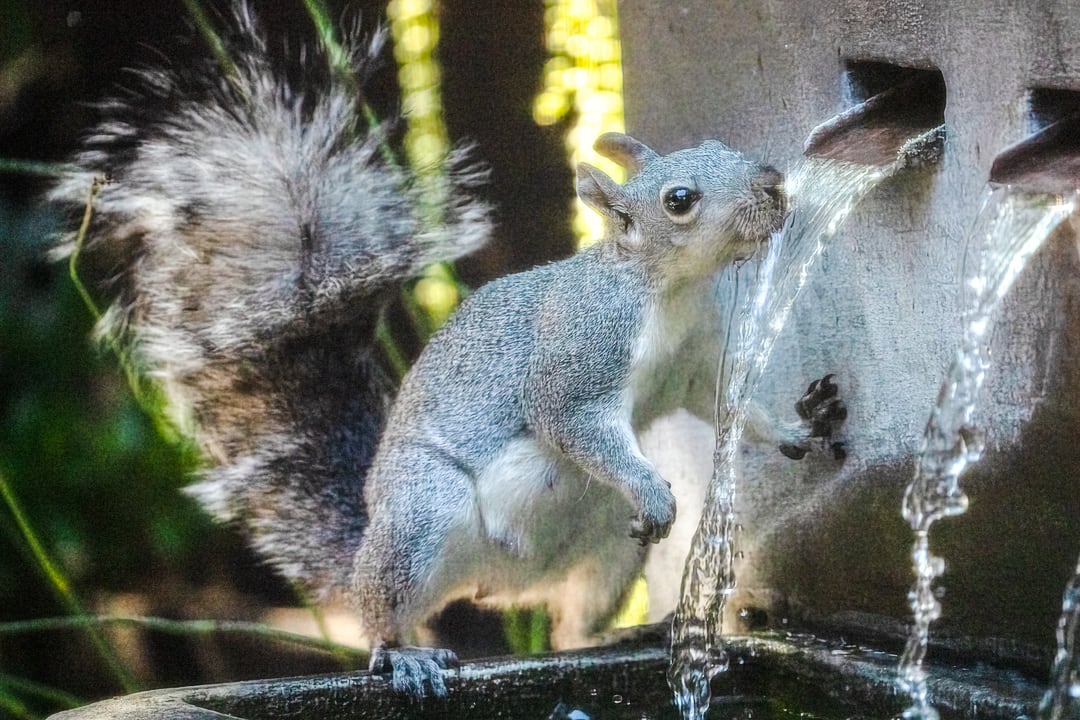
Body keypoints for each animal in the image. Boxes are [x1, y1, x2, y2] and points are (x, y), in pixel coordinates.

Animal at [50, 2, 845, 698]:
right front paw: (652, 484)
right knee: (382, 612)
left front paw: (800, 427)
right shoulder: (577, 352)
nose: (773, 185)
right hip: (421, 517)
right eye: (681, 199)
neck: (668, 293)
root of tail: (498, 582)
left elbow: (728, 405)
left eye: (721, 147)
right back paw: (405, 656)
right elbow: (569, 420)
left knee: (571, 628)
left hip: (611, 551)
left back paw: (625, 635)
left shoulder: (695, 361)